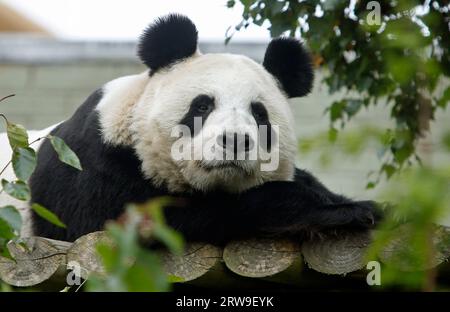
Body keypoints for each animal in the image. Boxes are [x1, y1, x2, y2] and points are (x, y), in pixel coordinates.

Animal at [28, 14, 380, 244]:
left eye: (259, 113)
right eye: (202, 106)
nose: (235, 141)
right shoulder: (94, 167)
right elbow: (151, 220)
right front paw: (341, 212)